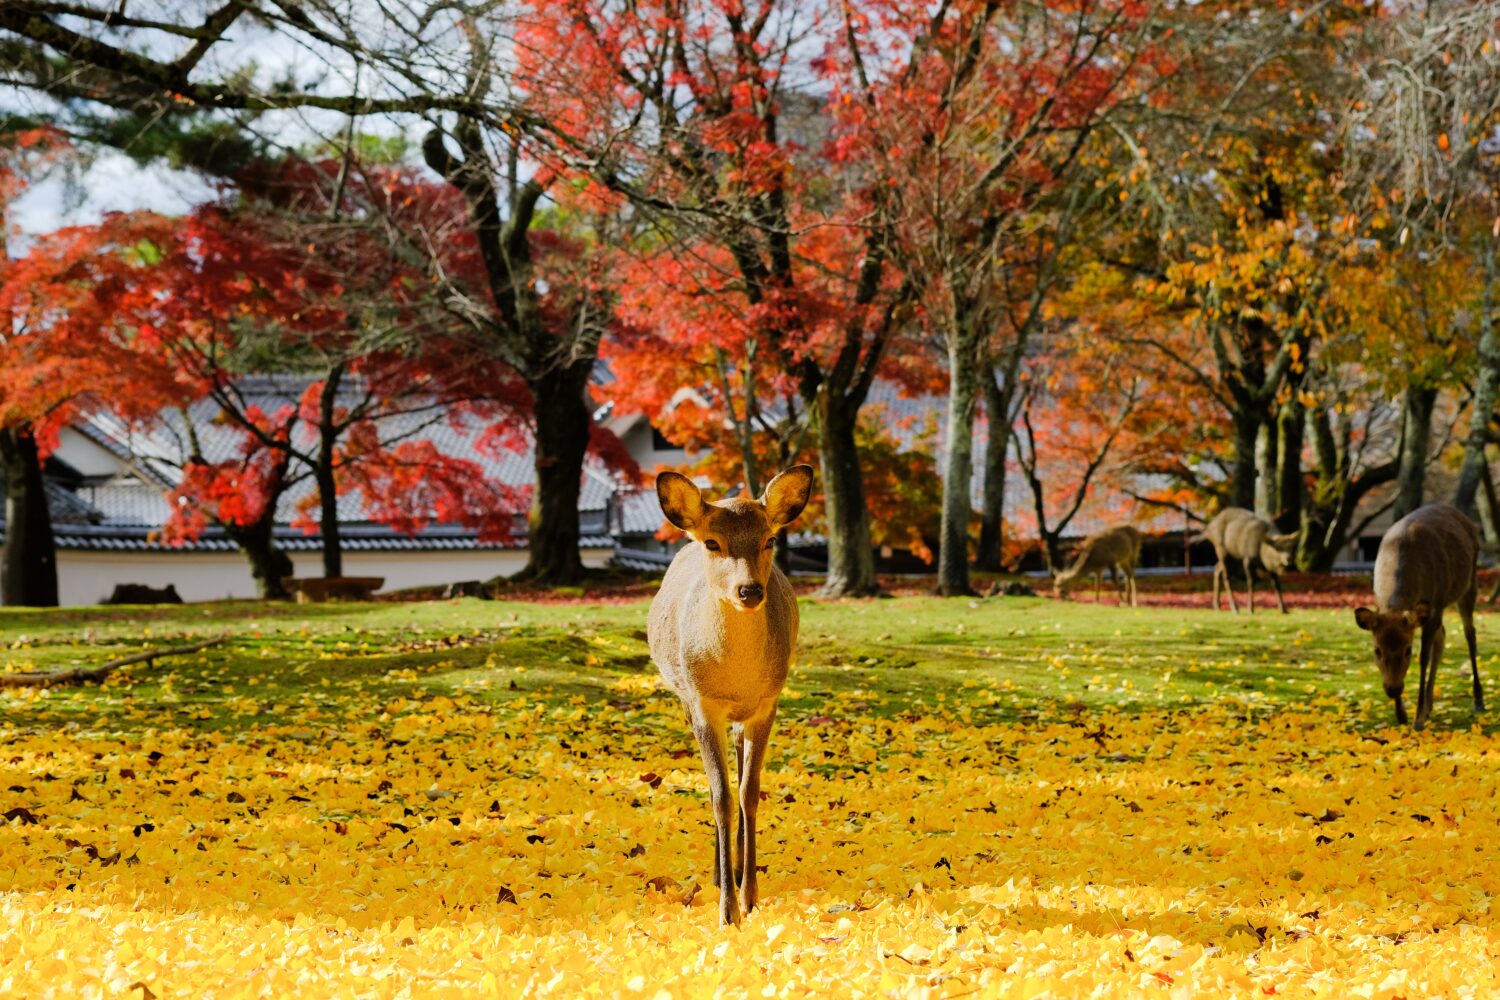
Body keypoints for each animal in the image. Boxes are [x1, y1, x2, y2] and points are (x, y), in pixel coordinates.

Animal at [642, 464, 810, 929]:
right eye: (713, 542)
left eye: (769, 539)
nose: (749, 591)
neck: (736, 678)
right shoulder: (703, 705)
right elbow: (719, 795)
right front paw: (727, 912)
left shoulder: (768, 702)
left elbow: (749, 792)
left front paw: (750, 896)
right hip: (685, 697)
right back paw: (720, 874)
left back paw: (732, 868)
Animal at [1356, 503, 1482, 731]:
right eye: (1377, 650)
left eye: (1408, 650)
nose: (1393, 689)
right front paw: (1402, 714)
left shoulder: (1435, 604)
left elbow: (1423, 657)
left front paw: (1418, 718)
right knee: (1442, 636)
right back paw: (1430, 704)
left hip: (1469, 584)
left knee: (1470, 635)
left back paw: (1478, 700)